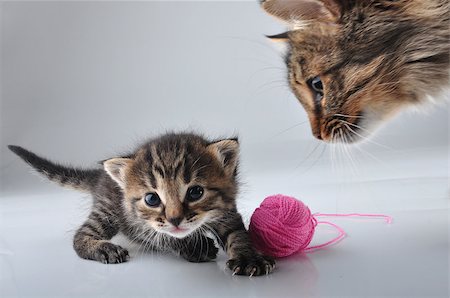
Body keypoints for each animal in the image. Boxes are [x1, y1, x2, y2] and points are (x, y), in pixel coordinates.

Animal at [7, 133, 274, 278]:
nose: (175, 219)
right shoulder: (138, 224)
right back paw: (103, 248)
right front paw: (193, 246)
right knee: (80, 236)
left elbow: (237, 233)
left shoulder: (227, 209)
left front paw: (249, 258)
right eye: (152, 199)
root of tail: (100, 177)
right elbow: (162, 236)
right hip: (108, 210)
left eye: (196, 192)